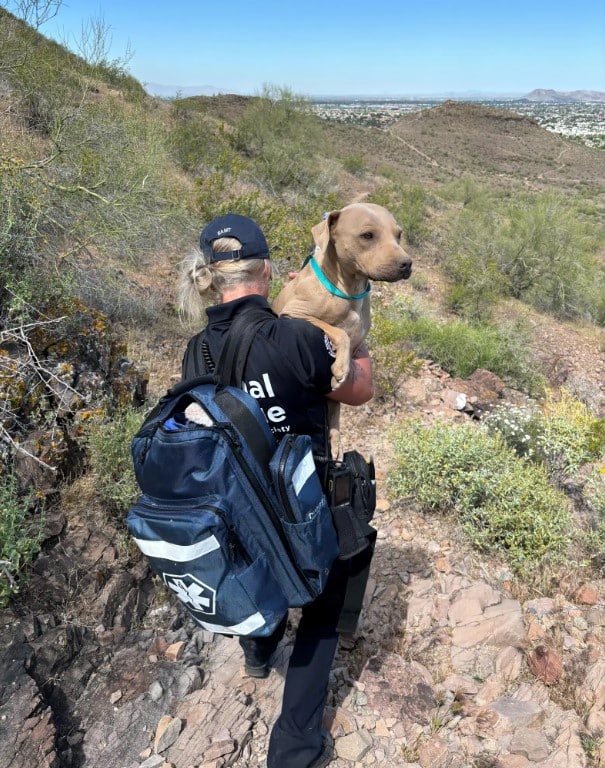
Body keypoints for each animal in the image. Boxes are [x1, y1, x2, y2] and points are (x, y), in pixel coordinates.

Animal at [272, 204, 410, 456]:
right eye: (367, 235)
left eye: (398, 235)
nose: (407, 263)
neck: (350, 289)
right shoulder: (295, 313)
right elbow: (340, 332)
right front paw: (340, 368)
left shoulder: (357, 345)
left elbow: (336, 405)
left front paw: (335, 438)